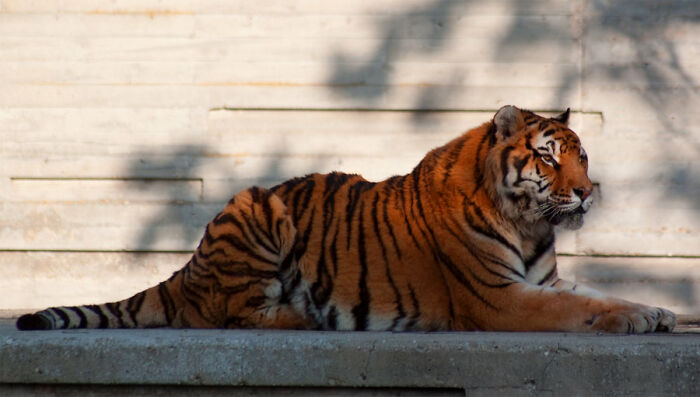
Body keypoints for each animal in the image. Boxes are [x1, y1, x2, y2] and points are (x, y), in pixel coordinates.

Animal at [16, 105, 676, 332]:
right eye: (548, 157)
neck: (530, 222)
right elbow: (578, 309)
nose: (588, 193)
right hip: (256, 205)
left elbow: (596, 294)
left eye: (583, 156)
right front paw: (640, 319)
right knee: (232, 314)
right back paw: (304, 318)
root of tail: (188, 268)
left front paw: (658, 311)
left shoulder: (542, 281)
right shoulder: (498, 298)